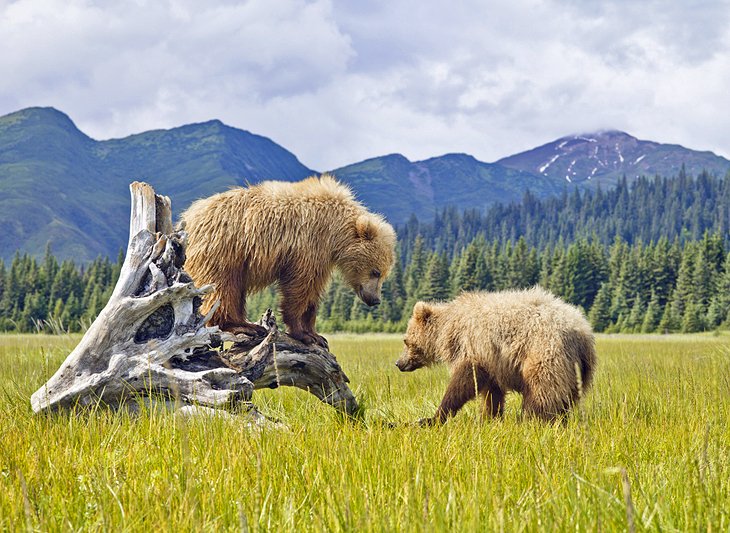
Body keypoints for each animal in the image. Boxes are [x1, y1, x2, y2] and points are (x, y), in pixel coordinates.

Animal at [180, 175, 396, 348]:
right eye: (375, 272)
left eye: (384, 274)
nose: (375, 300)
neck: (335, 233)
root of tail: (187, 216)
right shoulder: (307, 246)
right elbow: (299, 287)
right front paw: (302, 333)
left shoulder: (322, 258)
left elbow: (313, 292)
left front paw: (317, 335)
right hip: (222, 248)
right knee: (222, 288)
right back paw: (241, 326)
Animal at [396, 286, 596, 424]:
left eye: (405, 340)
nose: (398, 363)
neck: (448, 329)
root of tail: (582, 333)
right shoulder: (492, 359)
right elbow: (492, 391)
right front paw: (490, 417)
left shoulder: (473, 345)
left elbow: (465, 380)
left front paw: (435, 416)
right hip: (578, 369)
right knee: (566, 397)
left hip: (545, 351)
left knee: (542, 389)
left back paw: (531, 419)